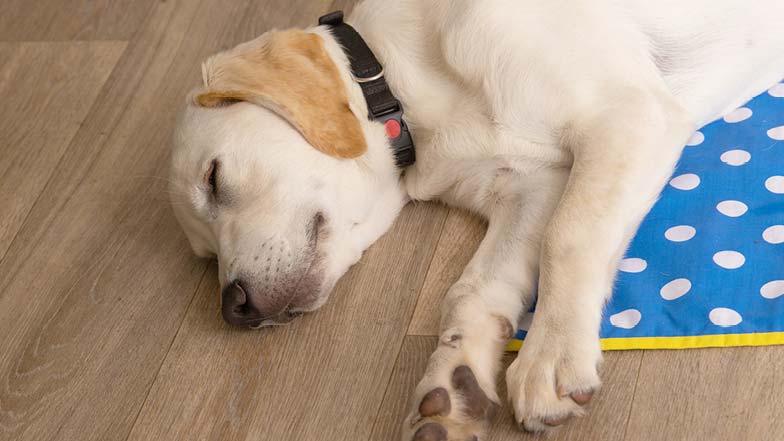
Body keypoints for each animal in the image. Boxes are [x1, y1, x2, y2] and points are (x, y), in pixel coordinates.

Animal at [167, 1, 784, 438]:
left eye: (215, 179)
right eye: (204, 257)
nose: (235, 308)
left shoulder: (629, 115)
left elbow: (570, 234)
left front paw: (551, 357)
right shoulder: (532, 186)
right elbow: (474, 290)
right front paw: (455, 379)